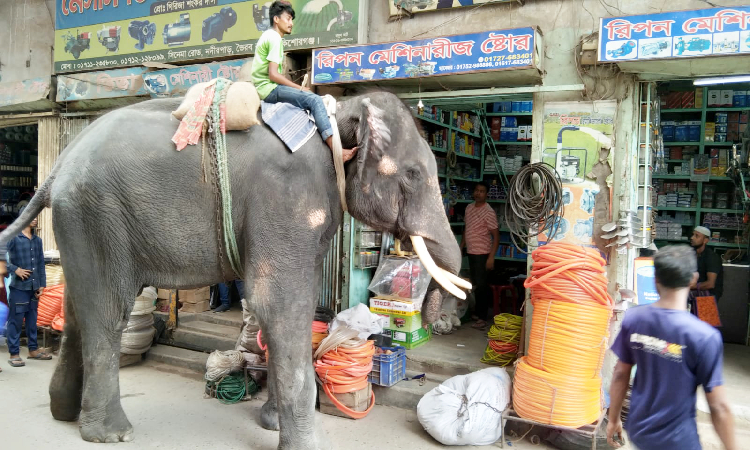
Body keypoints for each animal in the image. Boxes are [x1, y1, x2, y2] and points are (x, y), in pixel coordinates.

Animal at [0, 90, 470, 446]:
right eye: (413, 174)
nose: (443, 321)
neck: (337, 116)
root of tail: (57, 166)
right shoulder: (287, 199)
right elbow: (279, 305)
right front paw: (303, 442)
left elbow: (278, 314)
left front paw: (272, 424)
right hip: (97, 214)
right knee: (108, 312)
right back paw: (111, 434)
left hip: (81, 221)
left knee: (79, 309)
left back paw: (64, 414)